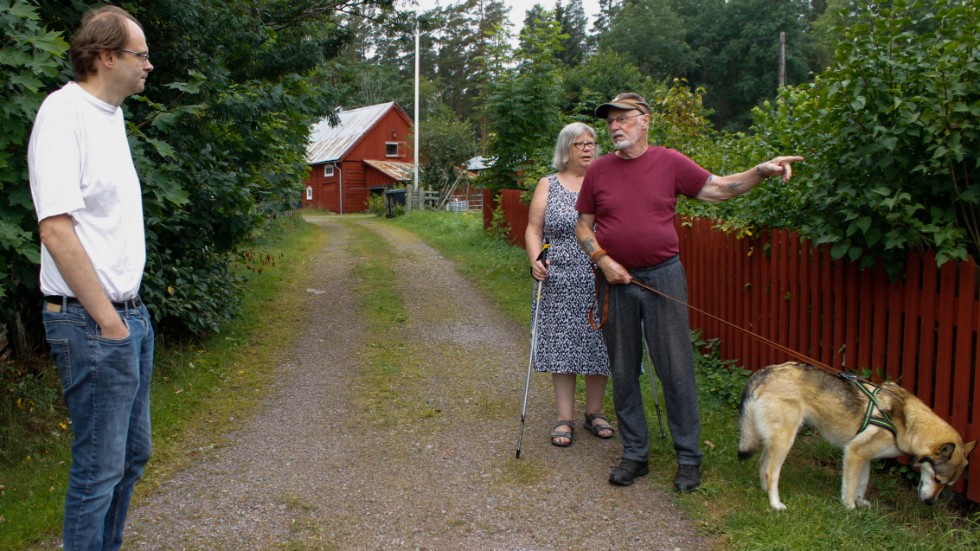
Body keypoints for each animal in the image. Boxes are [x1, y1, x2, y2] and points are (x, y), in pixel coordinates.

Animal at [740, 364, 976, 512]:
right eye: (937, 479)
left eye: (946, 484)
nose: (930, 503)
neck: (907, 423)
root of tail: (764, 372)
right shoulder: (854, 453)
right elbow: (851, 485)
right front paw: (850, 508)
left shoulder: (866, 458)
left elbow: (862, 483)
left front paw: (860, 503)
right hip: (785, 440)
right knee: (771, 471)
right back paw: (775, 504)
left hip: (776, 439)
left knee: (762, 463)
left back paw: (764, 490)